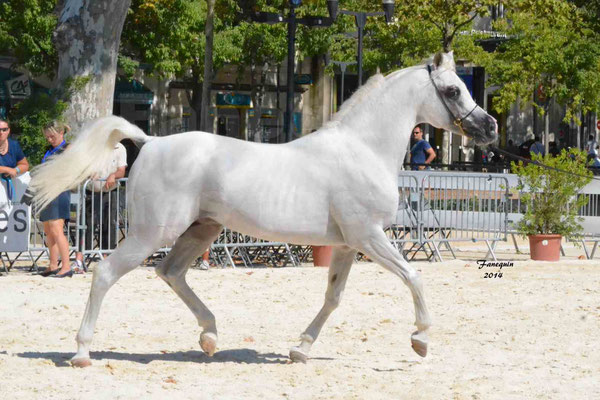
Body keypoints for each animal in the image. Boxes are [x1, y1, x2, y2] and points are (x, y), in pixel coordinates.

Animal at [28, 51, 496, 368]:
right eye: (453, 90)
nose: (489, 127)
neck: (362, 150)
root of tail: (151, 141)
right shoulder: (369, 237)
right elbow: (414, 277)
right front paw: (421, 339)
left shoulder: (348, 245)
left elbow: (333, 297)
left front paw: (299, 349)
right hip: (152, 233)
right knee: (106, 273)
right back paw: (83, 351)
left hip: (202, 230)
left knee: (171, 272)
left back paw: (210, 337)